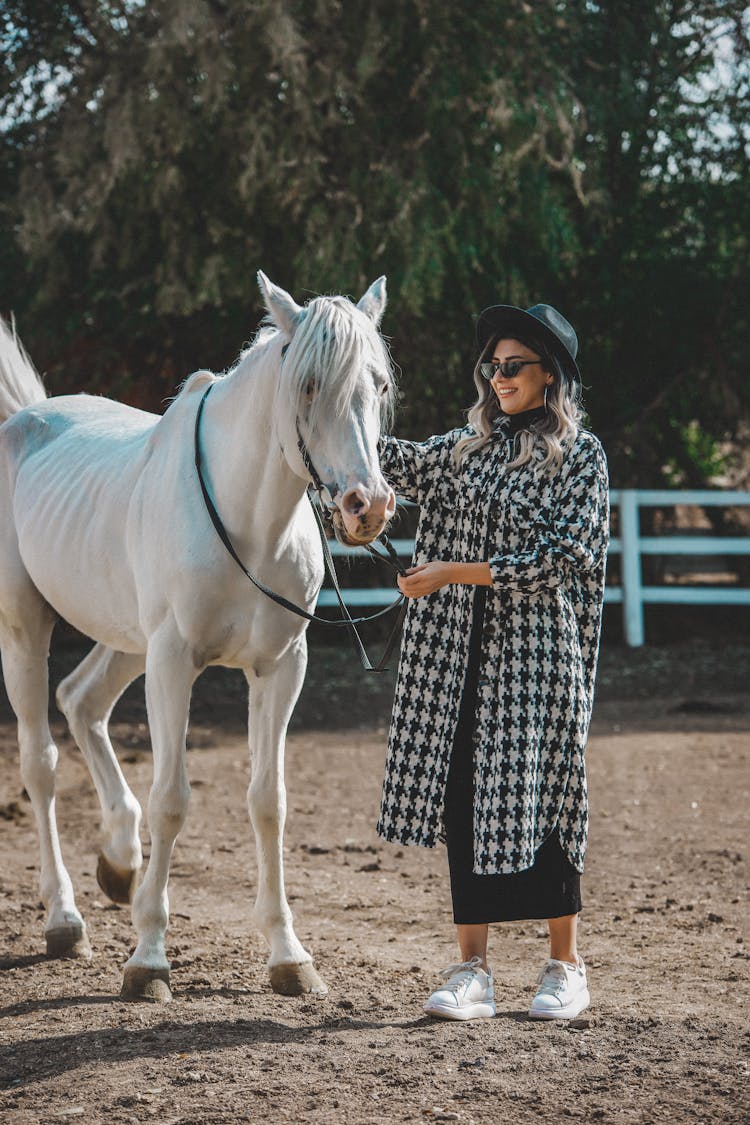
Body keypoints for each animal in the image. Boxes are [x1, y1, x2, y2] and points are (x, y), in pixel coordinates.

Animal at [0, 274, 398, 1003]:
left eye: (378, 385)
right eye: (308, 385)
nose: (368, 506)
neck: (250, 522)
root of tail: (26, 419)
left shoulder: (280, 667)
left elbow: (268, 802)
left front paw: (288, 954)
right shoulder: (173, 661)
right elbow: (172, 799)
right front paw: (148, 958)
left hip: (127, 639)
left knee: (81, 700)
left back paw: (119, 861)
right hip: (28, 628)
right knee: (40, 761)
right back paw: (65, 918)